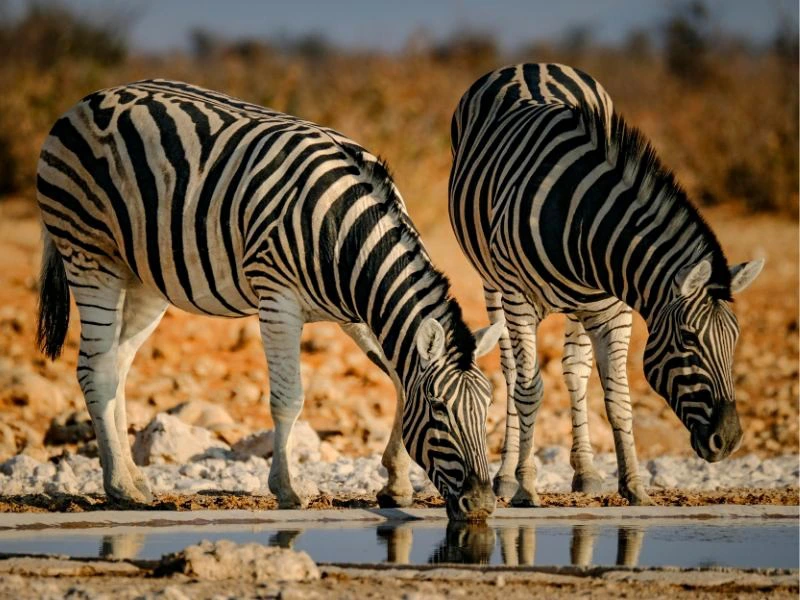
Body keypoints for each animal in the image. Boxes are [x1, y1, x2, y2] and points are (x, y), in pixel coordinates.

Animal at [35, 79, 503, 519]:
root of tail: (85, 102)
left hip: (143, 277)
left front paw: (396, 483)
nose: (482, 504)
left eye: (487, 408)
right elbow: (288, 399)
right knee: (95, 369)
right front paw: (287, 489)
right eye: (439, 409)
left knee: (118, 366)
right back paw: (119, 487)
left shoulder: (357, 313)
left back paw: (134, 479)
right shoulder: (278, 300)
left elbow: (399, 379)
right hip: (89, 254)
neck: (345, 235)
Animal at [449, 63, 763, 506]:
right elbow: (529, 388)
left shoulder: (614, 309)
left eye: (734, 338)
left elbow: (617, 397)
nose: (730, 440)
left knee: (575, 371)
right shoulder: (519, 298)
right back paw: (507, 476)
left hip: (581, 307)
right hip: (492, 282)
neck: (581, 219)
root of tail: (533, 64)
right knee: (511, 372)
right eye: (687, 339)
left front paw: (634, 486)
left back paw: (586, 471)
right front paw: (526, 487)